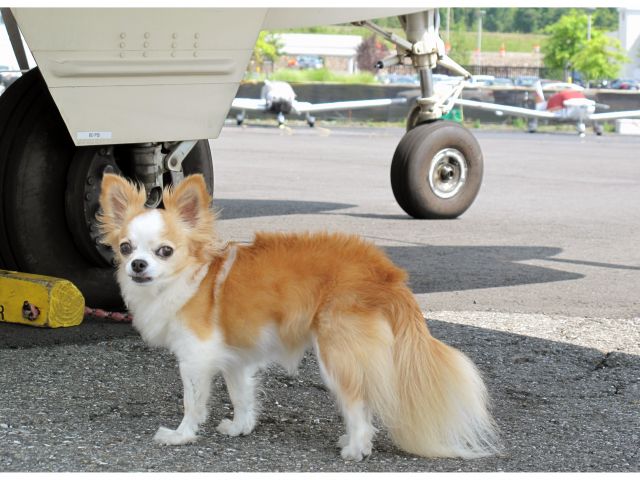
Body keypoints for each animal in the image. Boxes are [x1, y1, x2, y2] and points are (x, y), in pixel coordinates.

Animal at [99, 173, 500, 462]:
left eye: (164, 252)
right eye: (126, 248)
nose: (137, 265)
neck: (191, 277)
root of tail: (385, 274)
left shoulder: (195, 359)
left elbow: (192, 402)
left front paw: (181, 436)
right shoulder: (235, 359)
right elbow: (241, 395)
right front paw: (241, 427)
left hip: (336, 353)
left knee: (357, 402)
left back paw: (356, 448)